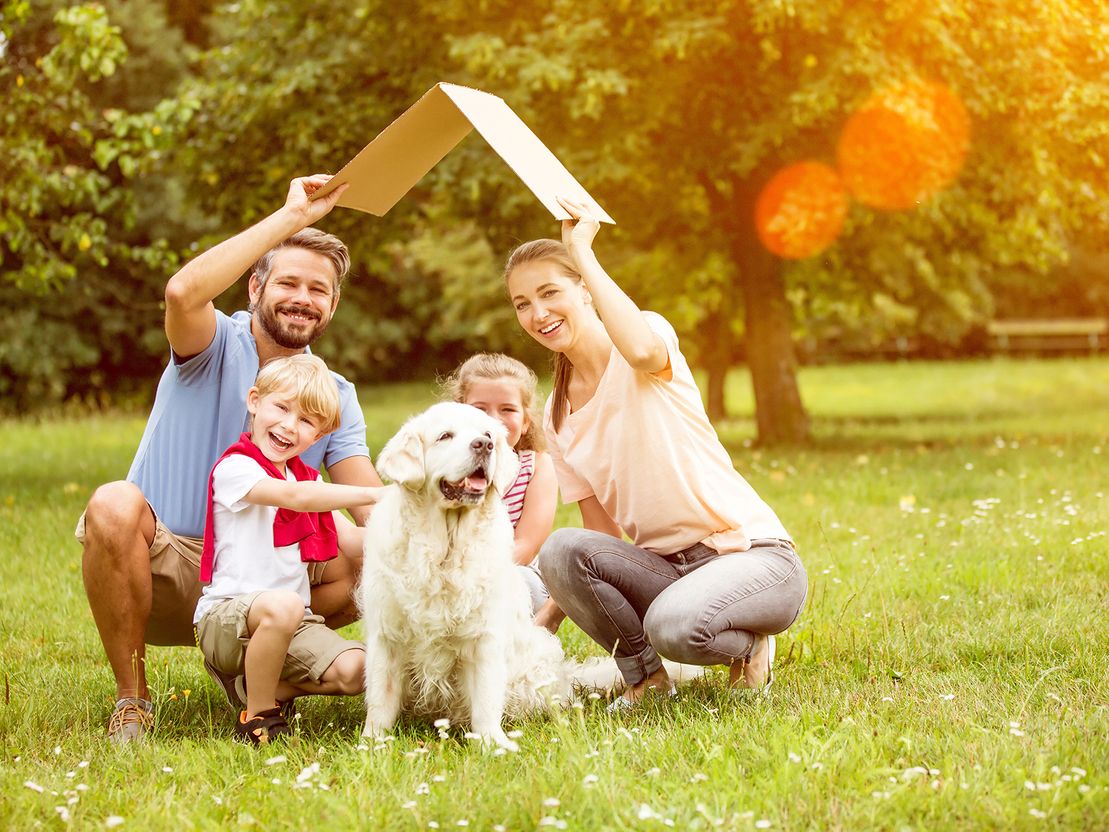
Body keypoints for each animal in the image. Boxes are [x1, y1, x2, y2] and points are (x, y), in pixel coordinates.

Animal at [361, 401, 576, 754]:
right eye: (444, 436)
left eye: (487, 433)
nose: (484, 445)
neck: (445, 549)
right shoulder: (386, 635)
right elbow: (380, 696)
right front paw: (372, 743)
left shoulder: (483, 636)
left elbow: (487, 698)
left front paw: (493, 743)